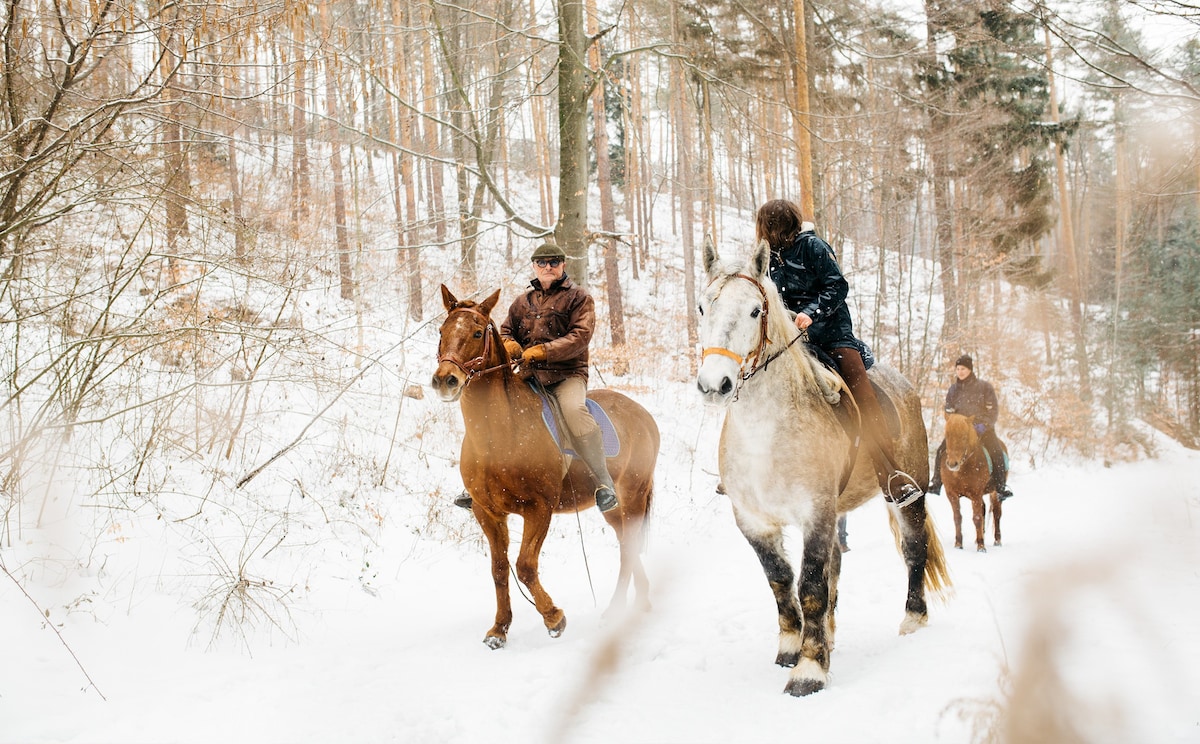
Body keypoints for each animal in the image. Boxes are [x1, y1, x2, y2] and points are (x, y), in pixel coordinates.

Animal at [432, 286, 662, 652]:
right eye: (441, 332)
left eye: (478, 333)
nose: (445, 380)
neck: (499, 432)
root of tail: (642, 413)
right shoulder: (487, 512)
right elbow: (500, 569)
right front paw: (498, 630)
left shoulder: (539, 509)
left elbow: (525, 566)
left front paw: (554, 618)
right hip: (614, 509)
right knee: (627, 543)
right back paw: (639, 602)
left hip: (634, 496)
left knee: (628, 547)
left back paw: (615, 611)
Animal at [696, 235, 945, 696]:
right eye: (703, 307)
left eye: (755, 310)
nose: (714, 385)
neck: (766, 434)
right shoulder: (755, 521)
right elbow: (781, 581)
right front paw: (792, 648)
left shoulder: (816, 513)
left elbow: (810, 584)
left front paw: (809, 670)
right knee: (836, 569)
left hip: (907, 494)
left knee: (914, 549)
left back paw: (913, 619)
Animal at [936, 412, 1003, 552]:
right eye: (947, 435)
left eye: (964, 437)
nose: (952, 464)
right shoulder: (952, 494)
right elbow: (957, 518)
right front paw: (958, 544)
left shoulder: (976, 494)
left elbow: (977, 518)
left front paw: (981, 547)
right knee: (984, 509)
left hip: (995, 492)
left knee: (997, 513)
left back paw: (997, 541)